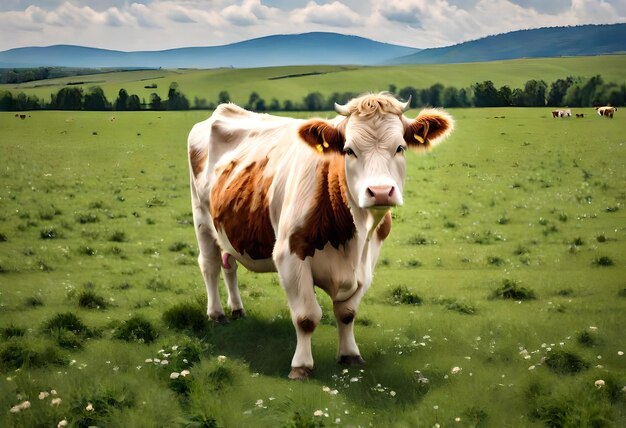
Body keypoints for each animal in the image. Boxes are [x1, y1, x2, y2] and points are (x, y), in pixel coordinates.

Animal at [188, 93, 450, 378]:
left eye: (400, 147)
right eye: (349, 150)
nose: (380, 191)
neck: (352, 240)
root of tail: (225, 109)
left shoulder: (368, 260)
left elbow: (347, 313)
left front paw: (350, 355)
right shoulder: (290, 256)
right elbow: (306, 317)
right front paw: (301, 366)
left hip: (227, 227)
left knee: (229, 266)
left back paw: (237, 309)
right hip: (202, 220)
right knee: (210, 266)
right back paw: (217, 314)